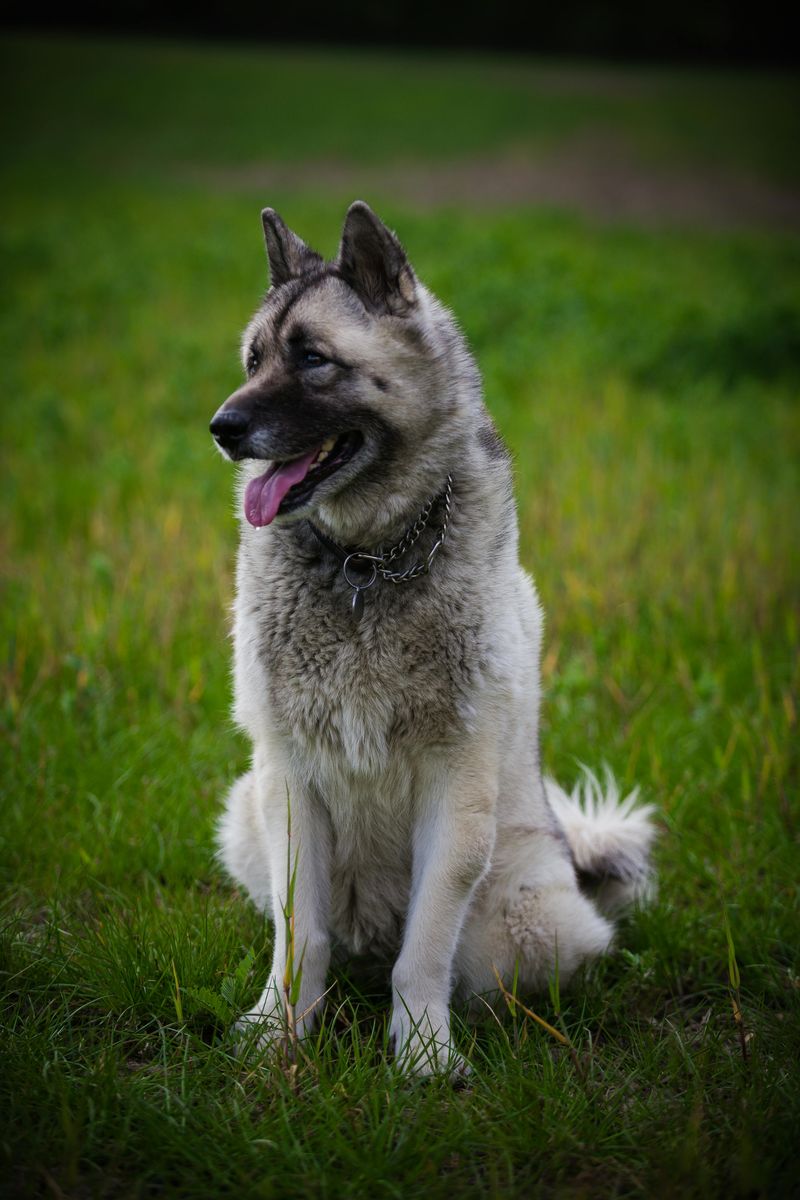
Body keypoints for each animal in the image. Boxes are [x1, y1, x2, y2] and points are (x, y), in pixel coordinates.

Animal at [209, 201, 652, 1075]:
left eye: (313, 359)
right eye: (254, 359)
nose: (222, 426)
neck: (367, 562)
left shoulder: (456, 784)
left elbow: (425, 949)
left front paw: (420, 1053)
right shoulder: (288, 781)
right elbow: (299, 936)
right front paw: (280, 1032)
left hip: (531, 926)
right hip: (246, 815)